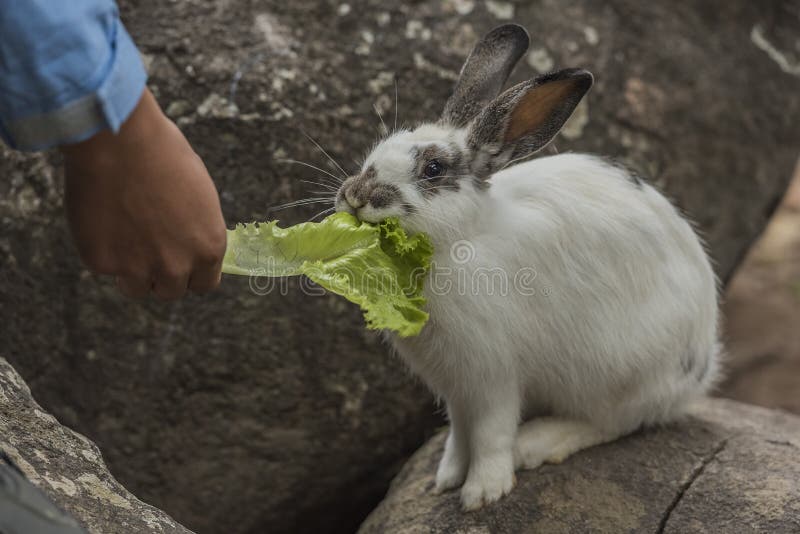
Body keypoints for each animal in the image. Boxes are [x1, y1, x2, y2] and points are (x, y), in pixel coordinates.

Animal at [334, 23, 721, 510]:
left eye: (433, 168)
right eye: (377, 151)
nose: (355, 195)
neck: (463, 240)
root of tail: (701, 368)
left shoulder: (492, 375)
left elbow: (491, 434)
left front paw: (482, 492)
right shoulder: (456, 387)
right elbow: (460, 433)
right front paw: (445, 478)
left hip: (618, 370)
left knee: (613, 421)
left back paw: (537, 443)